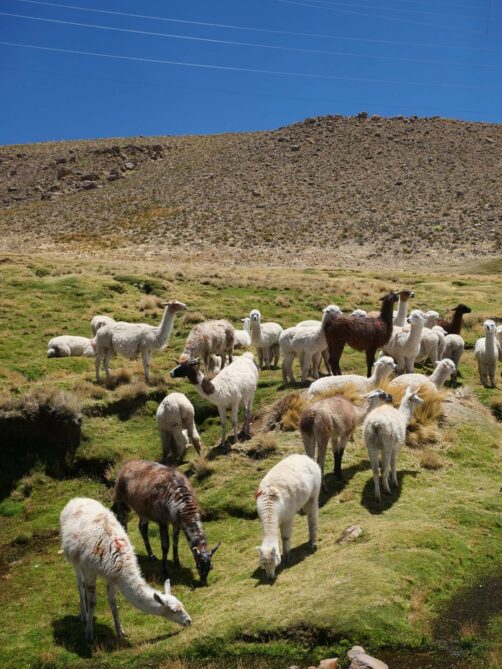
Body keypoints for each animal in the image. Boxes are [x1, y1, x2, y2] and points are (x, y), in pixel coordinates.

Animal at [60, 497, 191, 642]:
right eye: (175, 611)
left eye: (182, 604)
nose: (189, 621)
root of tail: (76, 499)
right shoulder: (90, 570)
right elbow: (93, 601)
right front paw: (89, 633)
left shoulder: (111, 576)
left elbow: (113, 602)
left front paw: (120, 631)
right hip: (75, 559)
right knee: (80, 584)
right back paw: (83, 614)